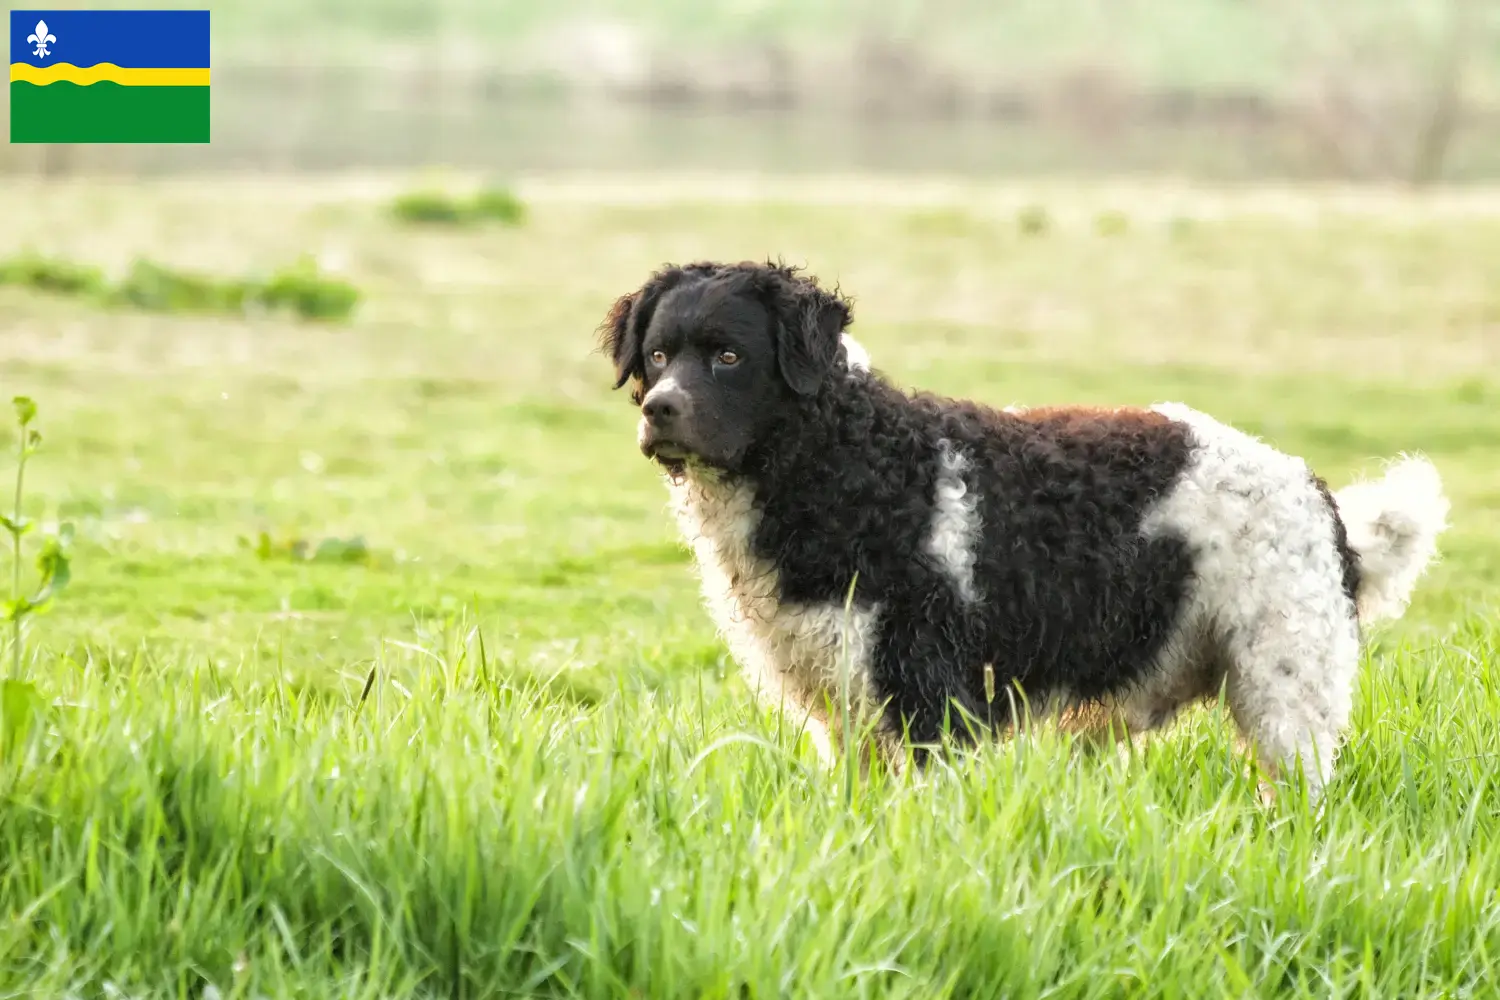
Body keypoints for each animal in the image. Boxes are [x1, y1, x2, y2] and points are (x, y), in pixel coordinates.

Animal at [597, 262, 1452, 803]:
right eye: (659, 355)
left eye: (729, 356)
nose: (660, 410)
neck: (846, 460)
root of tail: (1320, 499)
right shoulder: (849, 713)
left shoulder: (929, 696)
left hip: (1285, 696)